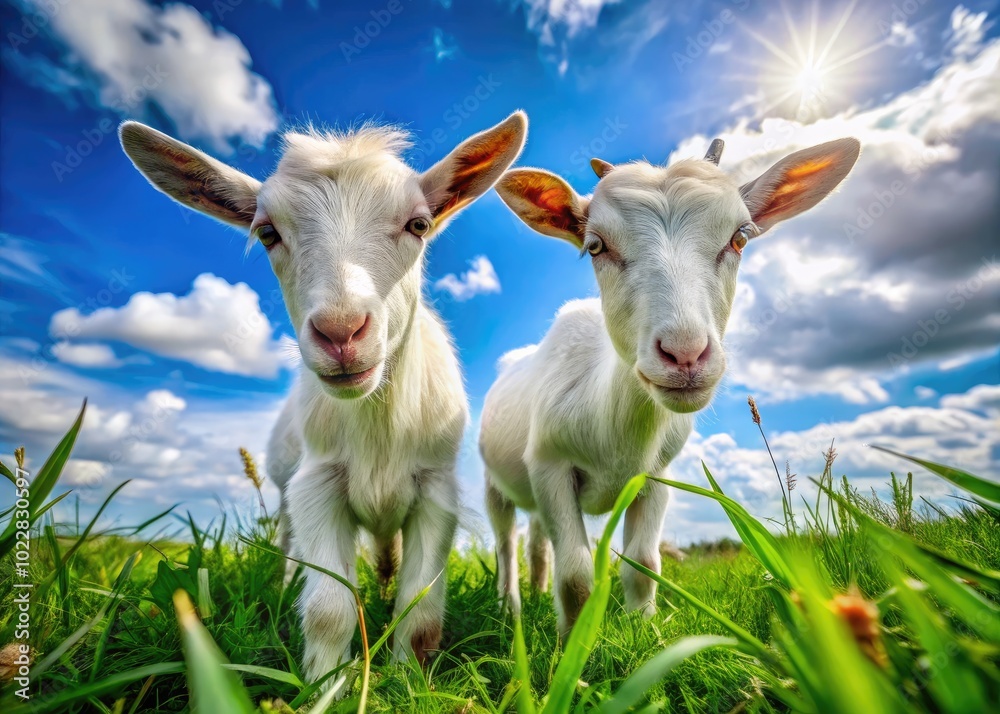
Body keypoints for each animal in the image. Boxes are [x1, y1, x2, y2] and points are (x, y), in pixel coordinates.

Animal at [119, 112, 527, 683]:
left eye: (418, 225)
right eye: (267, 233)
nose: (341, 332)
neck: (377, 420)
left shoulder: (435, 488)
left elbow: (420, 609)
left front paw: (408, 679)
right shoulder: (317, 482)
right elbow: (329, 607)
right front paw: (324, 683)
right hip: (285, 491)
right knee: (290, 546)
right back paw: (285, 584)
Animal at [482, 137, 860, 634]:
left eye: (740, 237)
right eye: (595, 245)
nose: (684, 355)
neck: (613, 429)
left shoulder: (655, 474)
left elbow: (643, 563)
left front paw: (644, 630)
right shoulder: (550, 465)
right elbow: (577, 574)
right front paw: (573, 644)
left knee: (537, 541)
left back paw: (537, 594)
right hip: (494, 481)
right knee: (506, 543)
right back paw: (509, 606)